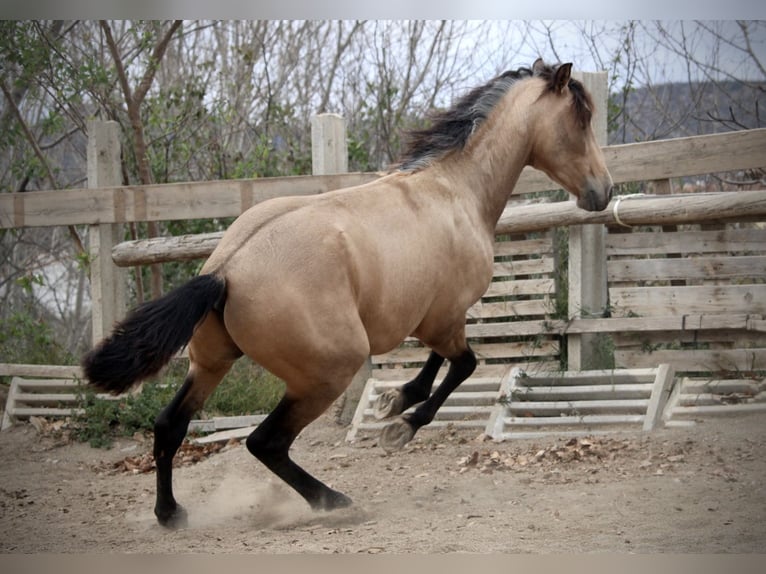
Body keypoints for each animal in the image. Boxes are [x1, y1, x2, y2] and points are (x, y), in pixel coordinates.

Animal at [82, 59, 612, 532]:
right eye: (581, 119)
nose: (603, 192)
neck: (454, 191)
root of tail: (226, 271)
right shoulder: (443, 317)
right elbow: (463, 365)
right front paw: (401, 424)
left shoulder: (433, 315)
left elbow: (437, 364)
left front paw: (395, 401)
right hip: (327, 372)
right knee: (265, 442)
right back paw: (334, 501)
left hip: (211, 362)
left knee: (170, 426)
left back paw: (171, 514)